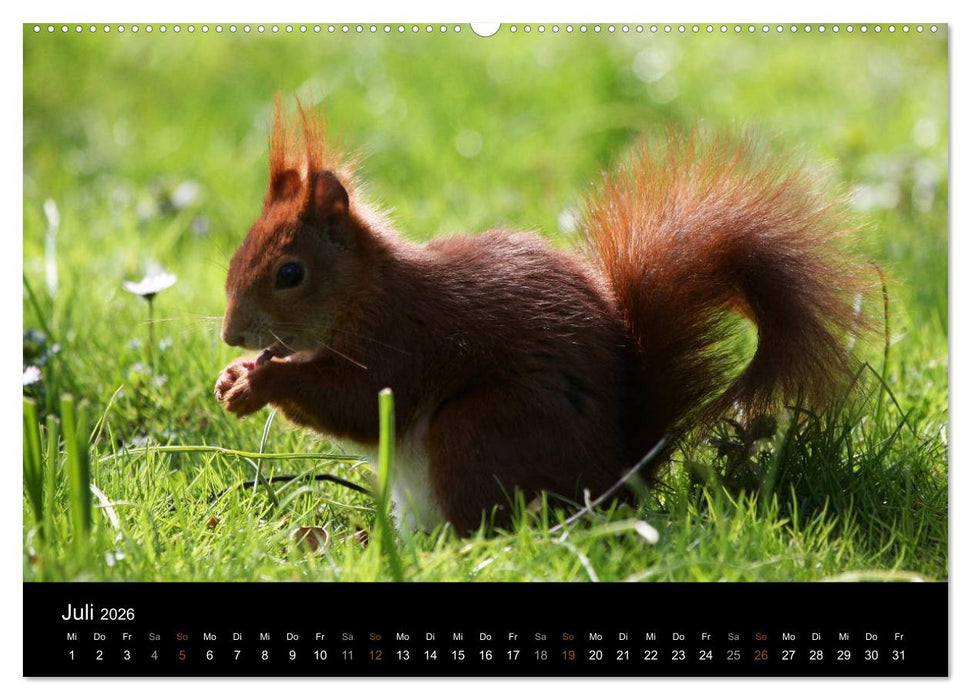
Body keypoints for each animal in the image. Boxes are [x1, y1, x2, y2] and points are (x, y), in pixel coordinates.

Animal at [214, 102, 865, 534]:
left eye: (291, 273)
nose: (230, 335)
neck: (365, 293)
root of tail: (614, 484)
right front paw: (234, 379)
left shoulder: (403, 339)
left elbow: (356, 400)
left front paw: (260, 381)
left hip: (477, 432)